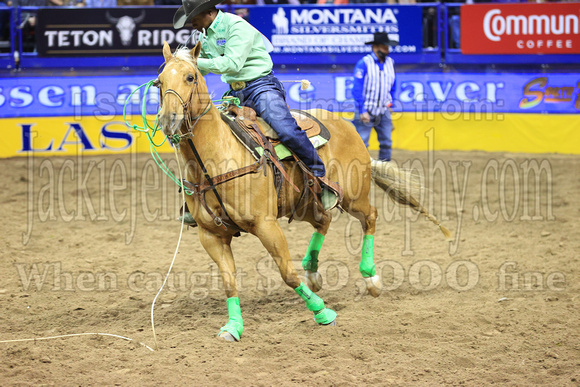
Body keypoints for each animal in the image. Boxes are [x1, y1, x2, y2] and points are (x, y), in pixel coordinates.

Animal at [155, 41, 448, 342]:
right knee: (324, 221)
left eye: (191, 77)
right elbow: (229, 282)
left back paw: (370, 277)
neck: (215, 160)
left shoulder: (266, 225)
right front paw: (233, 327)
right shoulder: (211, 235)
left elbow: (287, 273)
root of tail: (346, 125)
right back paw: (314, 272)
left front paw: (323, 313)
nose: (168, 119)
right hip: (304, 203)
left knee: (371, 216)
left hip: (353, 196)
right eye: (159, 82)